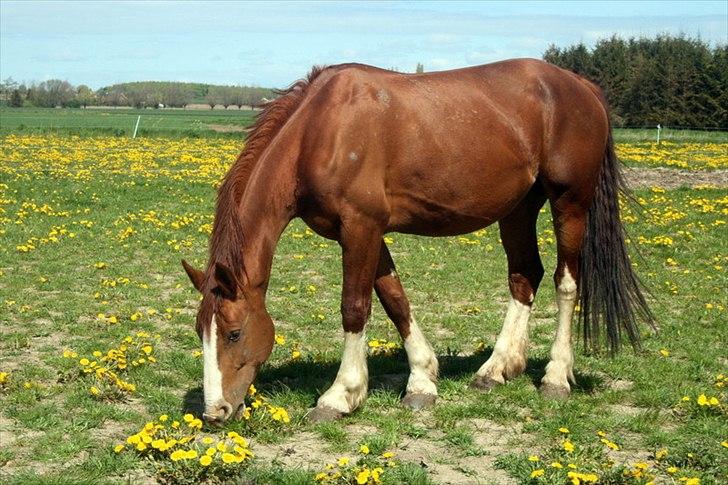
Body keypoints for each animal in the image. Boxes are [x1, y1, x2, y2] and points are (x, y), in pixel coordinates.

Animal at [182, 57, 656, 424]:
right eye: (200, 331)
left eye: (234, 333)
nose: (215, 412)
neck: (320, 131)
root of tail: (581, 86)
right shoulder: (364, 233)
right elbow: (395, 300)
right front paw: (423, 381)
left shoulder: (361, 228)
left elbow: (355, 308)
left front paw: (341, 395)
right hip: (519, 208)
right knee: (525, 276)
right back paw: (496, 369)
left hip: (570, 202)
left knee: (566, 282)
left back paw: (556, 377)